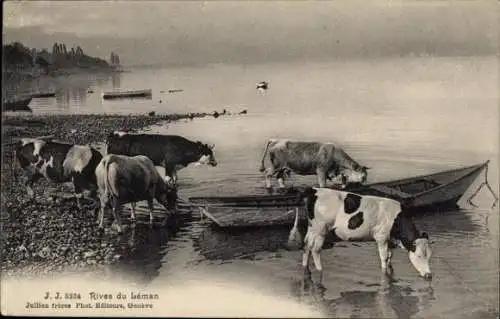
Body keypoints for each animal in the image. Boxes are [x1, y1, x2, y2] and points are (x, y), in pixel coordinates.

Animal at [290, 189, 434, 284]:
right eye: (419, 256)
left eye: (429, 256)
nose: (429, 275)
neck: (396, 219)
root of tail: (314, 190)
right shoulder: (381, 237)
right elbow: (383, 258)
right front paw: (385, 274)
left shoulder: (389, 239)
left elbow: (389, 256)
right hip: (321, 229)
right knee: (315, 249)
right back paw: (320, 270)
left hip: (312, 228)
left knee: (307, 245)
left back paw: (305, 267)